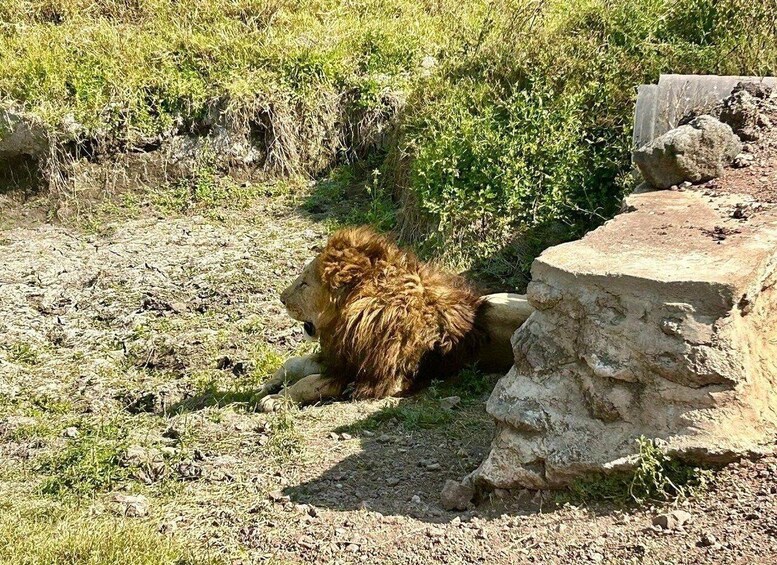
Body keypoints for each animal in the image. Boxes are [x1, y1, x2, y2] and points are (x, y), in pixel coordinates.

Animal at [256, 226, 533, 411]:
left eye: (304, 283)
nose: (281, 299)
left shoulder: (380, 377)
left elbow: (309, 382)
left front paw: (276, 399)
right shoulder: (343, 356)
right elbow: (294, 363)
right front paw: (269, 385)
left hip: (498, 307)